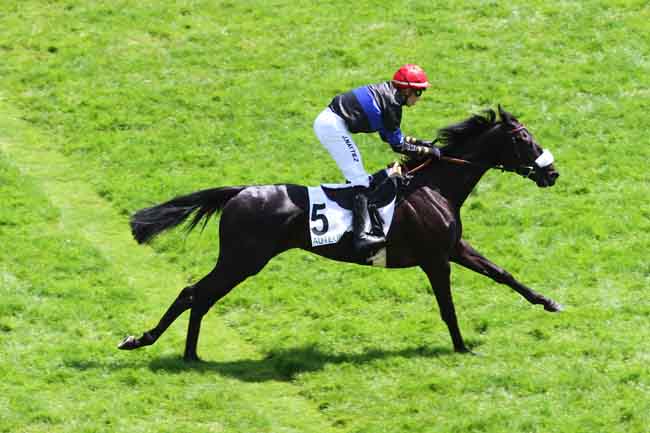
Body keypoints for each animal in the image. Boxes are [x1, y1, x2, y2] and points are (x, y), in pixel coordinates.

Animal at [119, 106, 560, 360]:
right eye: (524, 139)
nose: (552, 172)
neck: (435, 186)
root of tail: (240, 192)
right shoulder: (436, 259)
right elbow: (447, 306)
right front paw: (461, 347)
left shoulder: (454, 248)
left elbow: (502, 273)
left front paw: (549, 302)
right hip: (243, 260)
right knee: (193, 292)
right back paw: (151, 343)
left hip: (241, 261)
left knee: (201, 296)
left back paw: (188, 354)